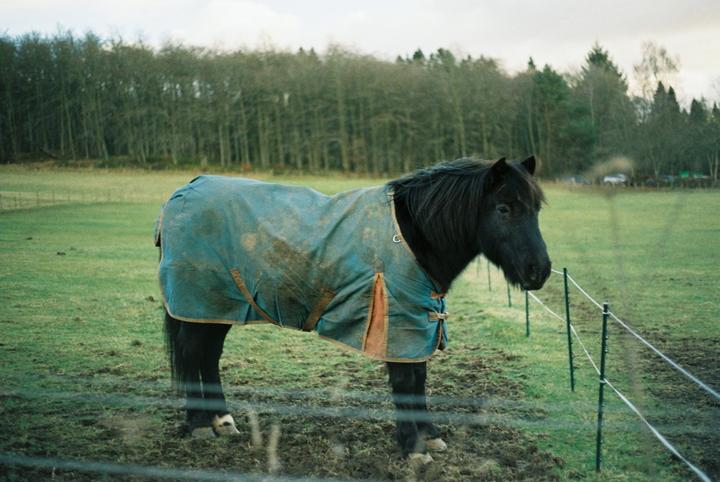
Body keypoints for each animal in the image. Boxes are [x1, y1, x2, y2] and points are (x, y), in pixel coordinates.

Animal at [157, 156, 551, 462]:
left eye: (535, 209)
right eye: (504, 209)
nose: (540, 271)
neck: (413, 235)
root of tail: (184, 191)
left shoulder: (418, 323)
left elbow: (419, 378)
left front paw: (429, 435)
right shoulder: (399, 324)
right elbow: (406, 382)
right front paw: (414, 448)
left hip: (216, 307)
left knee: (207, 356)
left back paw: (222, 421)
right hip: (200, 304)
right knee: (193, 354)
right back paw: (199, 425)